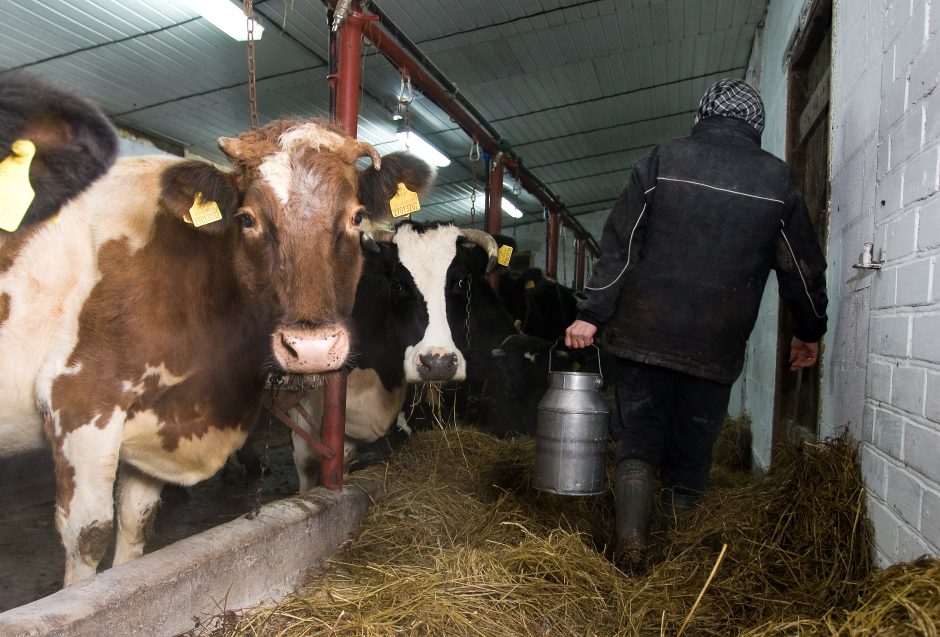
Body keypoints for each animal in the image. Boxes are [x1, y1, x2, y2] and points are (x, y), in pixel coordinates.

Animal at [0, 117, 400, 584]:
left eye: (357, 216)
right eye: (246, 218)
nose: (312, 348)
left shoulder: (156, 415)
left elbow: (137, 521)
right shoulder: (80, 402)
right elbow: (88, 534)